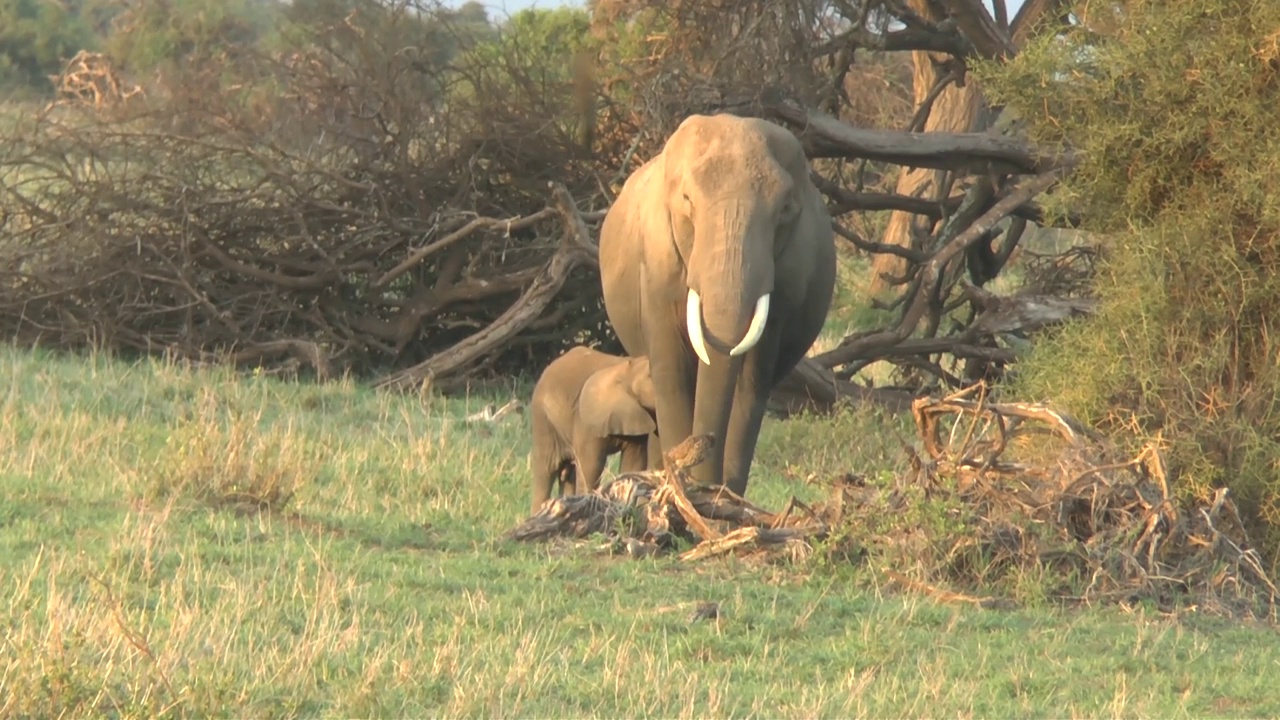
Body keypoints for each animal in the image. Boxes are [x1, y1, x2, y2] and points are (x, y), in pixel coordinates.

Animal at [527, 343, 655, 507]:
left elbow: (634, 464)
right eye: (650, 376)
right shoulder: (586, 421)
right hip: (543, 418)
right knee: (547, 469)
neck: (626, 370)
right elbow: (592, 467)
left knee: (569, 473)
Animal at [599, 113, 839, 491]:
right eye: (687, 201)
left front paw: (723, 496)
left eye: (785, 211)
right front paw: (683, 489)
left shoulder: (782, 291)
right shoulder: (655, 266)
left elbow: (752, 380)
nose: (703, 477)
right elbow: (672, 375)